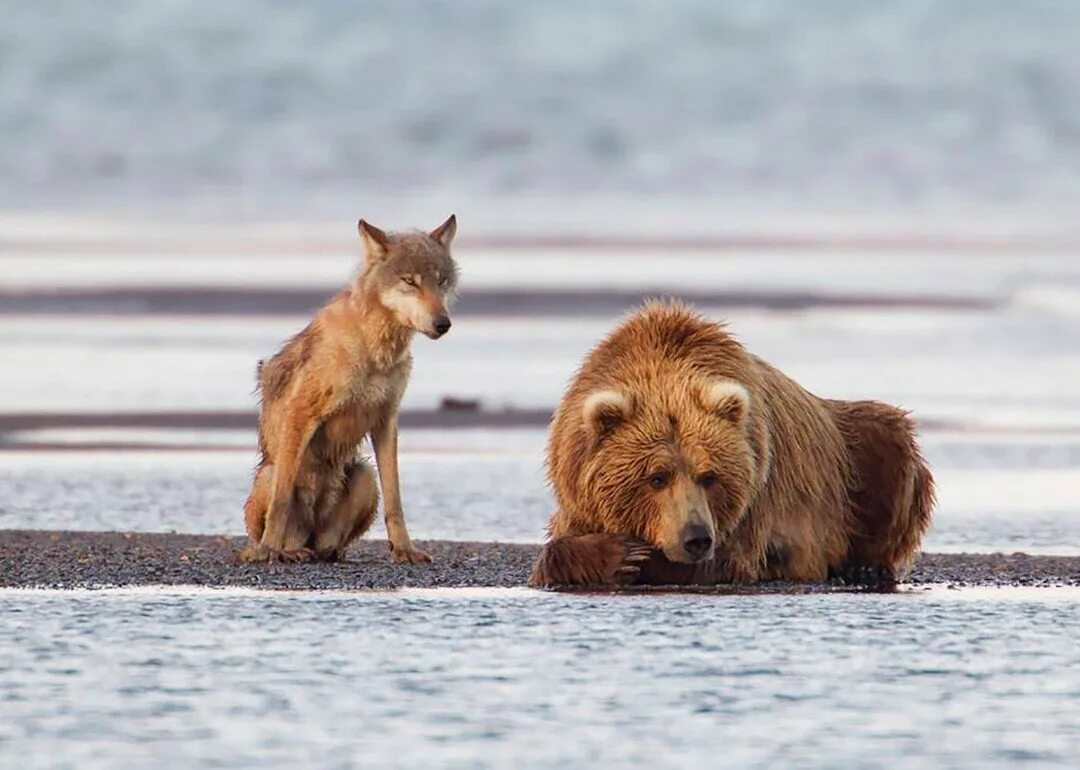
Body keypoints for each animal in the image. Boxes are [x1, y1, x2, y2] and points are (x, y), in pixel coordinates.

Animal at [238, 212, 457, 561]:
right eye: (410, 281)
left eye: (442, 282)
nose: (443, 324)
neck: (375, 349)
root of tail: (309, 537)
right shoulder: (301, 412)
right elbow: (281, 501)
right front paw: (268, 550)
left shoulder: (386, 420)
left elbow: (396, 501)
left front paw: (405, 550)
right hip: (270, 473)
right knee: (280, 513)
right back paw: (281, 551)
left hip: (365, 476)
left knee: (330, 545)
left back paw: (326, 552)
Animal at [527, 302, 933, 587]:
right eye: (656, 477)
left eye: (710, 476)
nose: (696, 538)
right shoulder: (577, 487)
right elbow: (554, 550)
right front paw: (619, 553)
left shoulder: (754, 502)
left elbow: (724, 561)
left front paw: (639, 556)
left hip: (851, 454)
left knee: (889, 439)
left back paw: (865, 566)